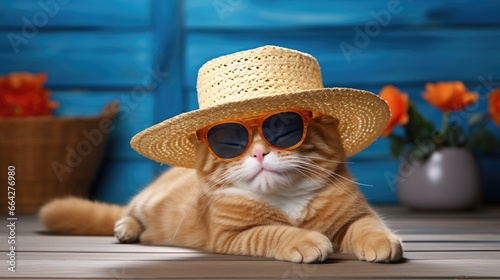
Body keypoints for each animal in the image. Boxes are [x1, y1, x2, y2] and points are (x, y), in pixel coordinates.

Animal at [41, 115, 404, 262]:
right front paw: (305, 239)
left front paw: (382, 241)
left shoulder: (355, 214)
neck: (287, 198)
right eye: (231, 141)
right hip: (146, 201)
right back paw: (127, 229)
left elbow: (367, 226)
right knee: (128, 212)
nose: (259, 152)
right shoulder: (230, 235)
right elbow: (274, 232)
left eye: (284, 129)